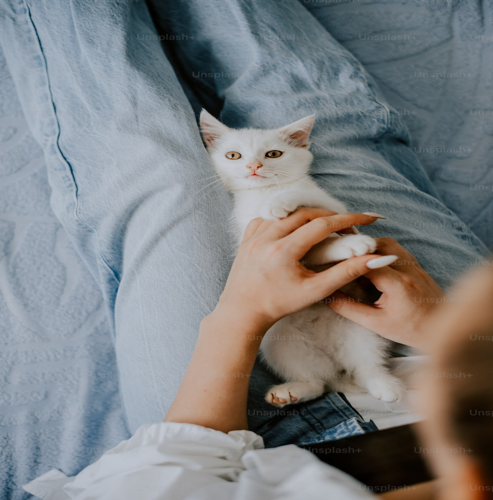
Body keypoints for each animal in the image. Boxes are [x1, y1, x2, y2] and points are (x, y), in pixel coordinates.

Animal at [200, 110, 404, 406]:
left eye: (273, 154)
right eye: (233, 155)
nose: (254, 166)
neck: (263, 192)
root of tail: (333, 363)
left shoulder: (332, 208)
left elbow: (304, 200)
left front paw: (280, 203)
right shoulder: (247, 229)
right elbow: (310, 251)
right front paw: (349, 245)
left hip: (361, 329)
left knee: (365, 366)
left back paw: (384, 384)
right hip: (278, 340)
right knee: (318, 383)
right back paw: (293, 390)